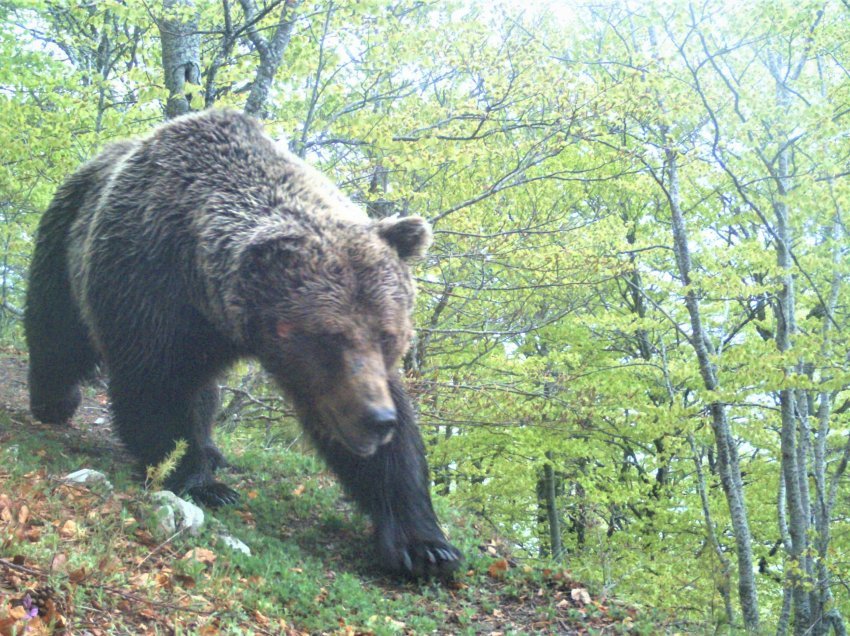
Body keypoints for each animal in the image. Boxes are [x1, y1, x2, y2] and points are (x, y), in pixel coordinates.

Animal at [26, 108, 460, 576]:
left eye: (388, 334)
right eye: (330, 336)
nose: (376, 419)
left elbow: (392, 451)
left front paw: (426, 545)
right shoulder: (151, 286)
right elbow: (157, 385)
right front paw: (200, 480)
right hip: (64, 241)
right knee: (59, 333)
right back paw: (54, 401)